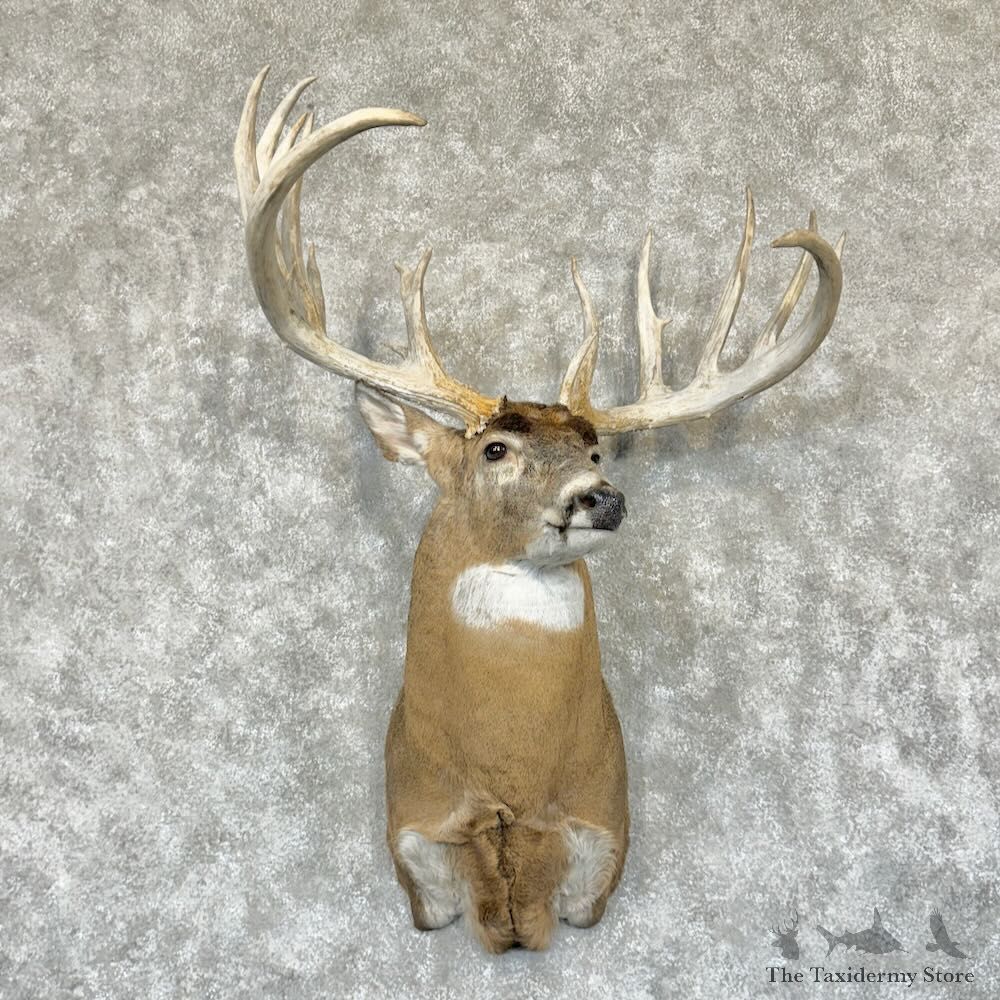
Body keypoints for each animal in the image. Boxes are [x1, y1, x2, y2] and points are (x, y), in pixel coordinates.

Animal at [233, 66, 844, 953]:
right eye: (494, 450)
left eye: (595, 454)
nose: (602, 498)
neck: (511, 783)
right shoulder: (415, 840)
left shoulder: (601, 838)